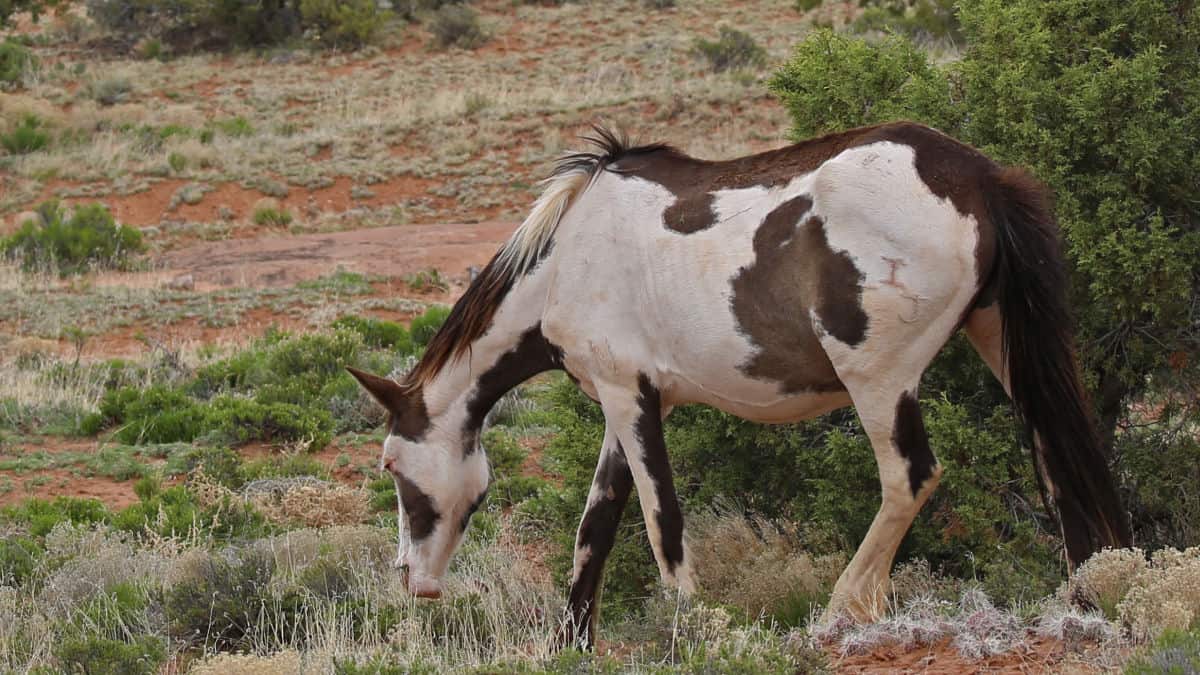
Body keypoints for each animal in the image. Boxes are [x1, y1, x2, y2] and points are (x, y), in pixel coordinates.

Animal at [350, 120, 1132, 648]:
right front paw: (570, 643)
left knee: (910, 478)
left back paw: (842, 609)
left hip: (880, 379)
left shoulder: (630, 398)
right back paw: (1083, 598)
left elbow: (662, 523)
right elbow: (595, 528)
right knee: (1059, 465)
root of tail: (979, 177)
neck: (565, 258)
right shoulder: (629, 404)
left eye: (392, 466)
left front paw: (694, 627)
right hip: (1003, 346)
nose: (411, 578)